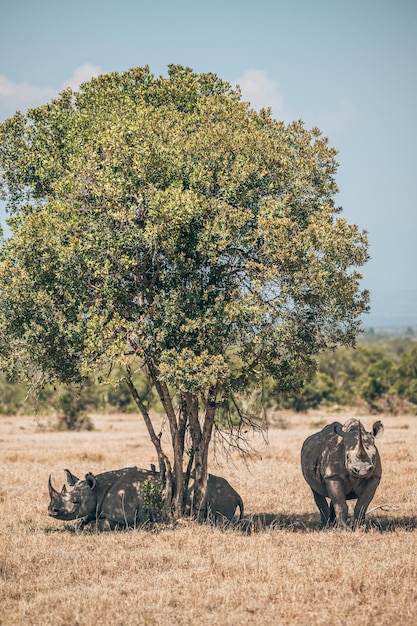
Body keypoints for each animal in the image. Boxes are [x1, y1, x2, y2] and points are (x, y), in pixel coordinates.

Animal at [48, 464, 244, 528]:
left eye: (75, 501)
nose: (51, 511)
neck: (97, 489)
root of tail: (235, 492)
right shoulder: (95, 507)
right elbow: (83, 521)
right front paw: (78, 525)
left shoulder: (121, 517)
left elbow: (97, 525)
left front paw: (87, 528)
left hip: (221, 496)